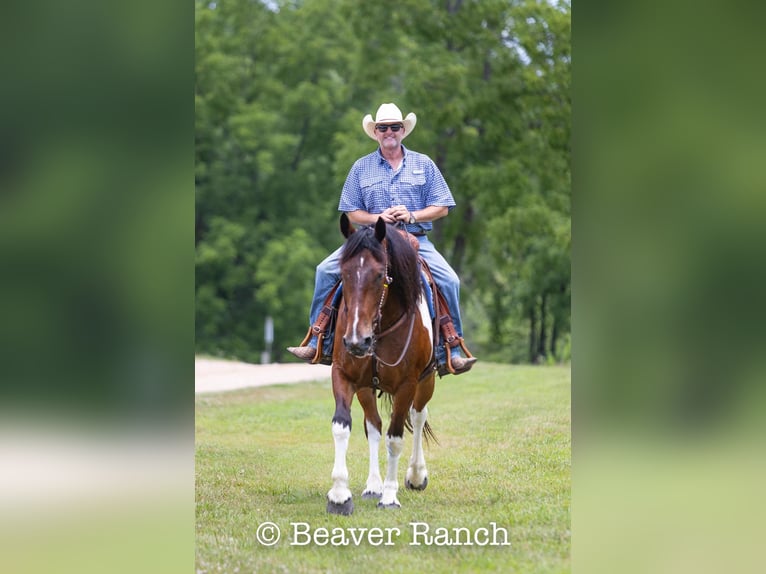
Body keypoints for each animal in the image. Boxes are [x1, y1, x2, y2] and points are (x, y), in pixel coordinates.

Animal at [326, 213, 437, 515]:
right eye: (343, 273)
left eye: (379, 275)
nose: (356, 341)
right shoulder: (342, 375)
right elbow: (342, 426)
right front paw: (339, 495)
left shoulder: (407, 385)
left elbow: (395, 438)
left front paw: (389, 496)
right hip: (366, 387)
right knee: (373, 425)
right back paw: (372, 484)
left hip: (427, 381)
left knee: (418, 416)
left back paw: (415, 475)